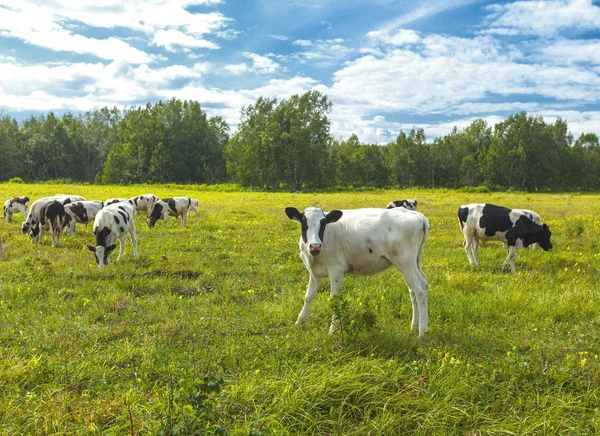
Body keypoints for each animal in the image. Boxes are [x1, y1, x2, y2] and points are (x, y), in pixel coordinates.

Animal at [284, 207, 428, 338]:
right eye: (304, 223)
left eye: (323, 223)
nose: (315, 246)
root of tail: (414, 213)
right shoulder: (315, 273)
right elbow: (308, 297)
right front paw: (299, 322)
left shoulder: (337, 270)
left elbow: (334, 299)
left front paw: (332, 330)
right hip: (411, 265)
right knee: (418, 288)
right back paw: (414, 327)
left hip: (406, 263)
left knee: (419, 291)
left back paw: (421, 333)